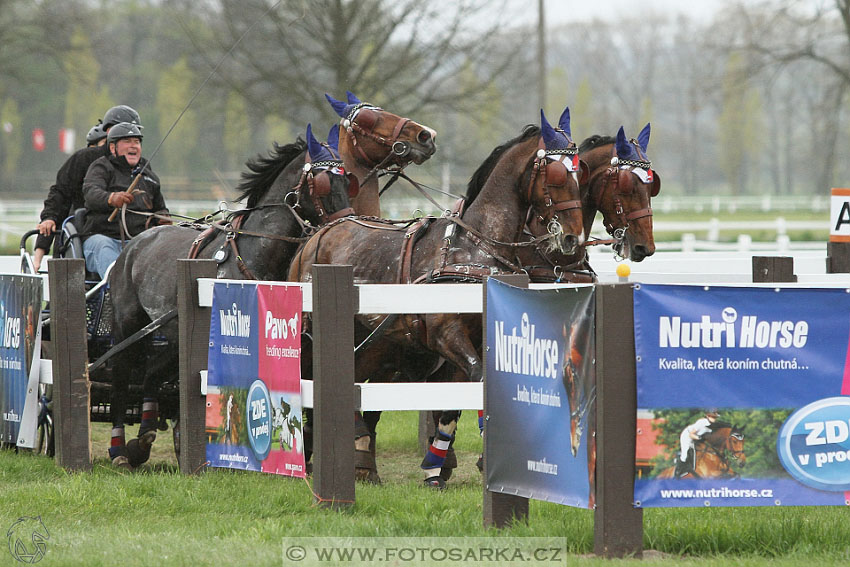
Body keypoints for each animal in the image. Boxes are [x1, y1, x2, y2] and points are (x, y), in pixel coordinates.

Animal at [102, 126, 354, 472]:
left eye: (349, 179)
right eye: (324, 181)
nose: (347, 224)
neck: (252, 253)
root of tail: (134, 241)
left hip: (174, 335)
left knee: (153, 372)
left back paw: (144, 436)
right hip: (128, 326)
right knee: (121, 376)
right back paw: (119, 449)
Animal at [288, 106, 588, 488]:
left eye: (580, 173)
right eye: (556, 174)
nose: (572, 239)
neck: (473, 248)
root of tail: (321, 231)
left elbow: (451, 406)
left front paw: (434, 469)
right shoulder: (446, 335)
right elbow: (478, 381)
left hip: (371, 342)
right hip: (314, 333)